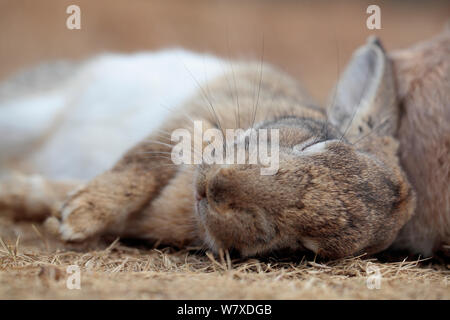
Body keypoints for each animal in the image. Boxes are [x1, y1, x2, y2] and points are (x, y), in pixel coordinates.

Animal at [0, 28, 448, 258]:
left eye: (304, 247)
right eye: (315, 145)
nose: (215, 187)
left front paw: (60, 213)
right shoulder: (191, 120)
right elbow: (142, 163)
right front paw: (80, 215)